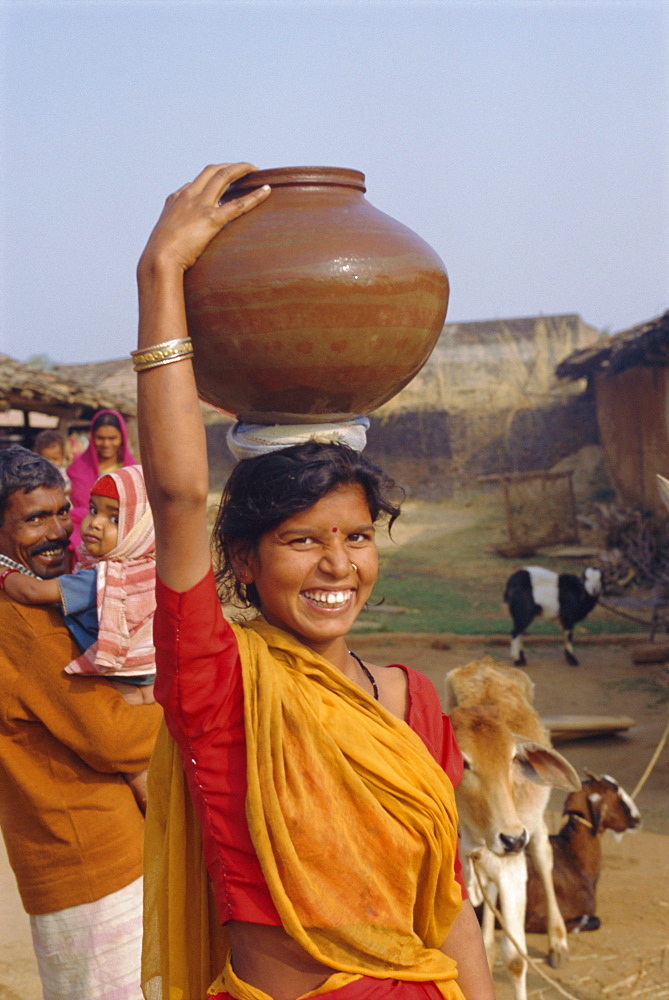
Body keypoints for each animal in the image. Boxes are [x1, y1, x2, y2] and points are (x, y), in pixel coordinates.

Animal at [444, 656, 580, 1000]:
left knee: (544, 858)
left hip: (534, 827)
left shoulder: (514, 871)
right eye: (464, 762)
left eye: (512, 759)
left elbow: (516, 959)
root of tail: (486, 662)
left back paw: (558, 941)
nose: (512, 838)